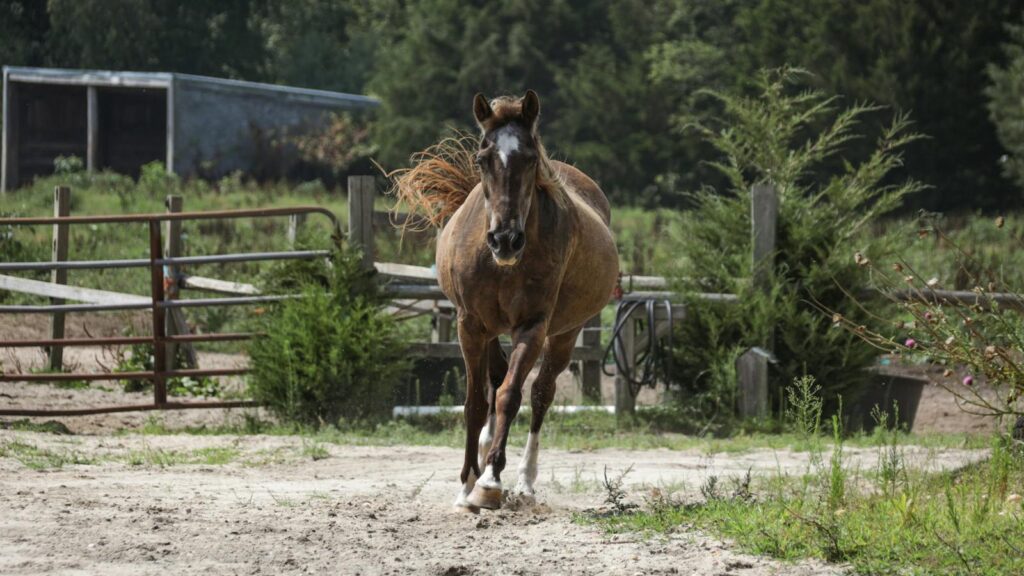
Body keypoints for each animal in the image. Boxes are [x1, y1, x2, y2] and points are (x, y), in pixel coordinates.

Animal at [395, 90, 618, 511]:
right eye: (482, 159)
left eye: (530, 159)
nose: (505, 241)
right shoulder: (469, 324)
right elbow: (474, 402)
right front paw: (467, 482)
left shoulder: (532, 327)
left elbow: (511, 395)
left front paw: (490, 482)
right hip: (488, 329)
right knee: (495, 377)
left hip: (565, 334)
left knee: (540, 393)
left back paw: (525, 480)